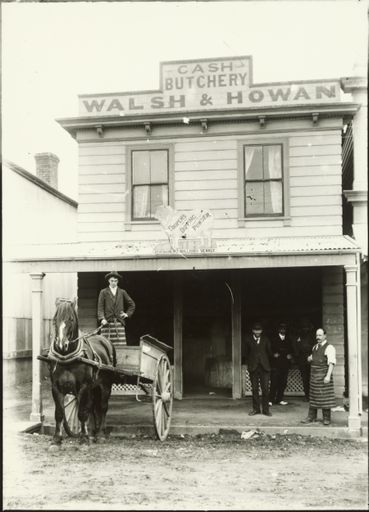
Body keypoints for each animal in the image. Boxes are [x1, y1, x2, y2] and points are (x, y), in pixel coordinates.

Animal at [49, 298, 114, 446]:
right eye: (55, 319)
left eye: (71, 319)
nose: (61, 345)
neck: (67, 359)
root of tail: (104, 340)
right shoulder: (56, 387)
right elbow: (59, 413)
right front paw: (56, 438)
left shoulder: (84, 387)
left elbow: (82, 413)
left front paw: (83, 438)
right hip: (94, 387)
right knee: (93, 407)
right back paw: (93, 433)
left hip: (105, 385)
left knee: (102, 407)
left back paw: (101, 434)